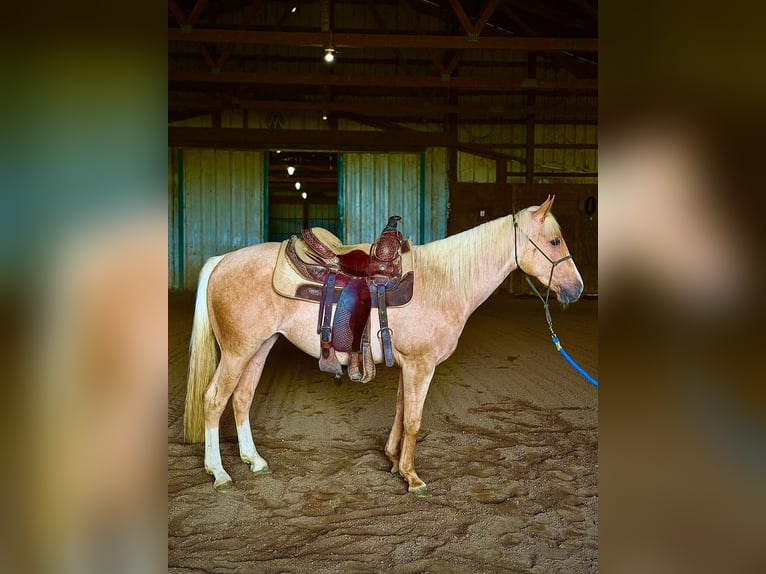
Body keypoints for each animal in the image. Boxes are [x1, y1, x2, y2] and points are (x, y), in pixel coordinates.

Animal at [183, 195, 584, 495]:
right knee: (215, 400)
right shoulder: (422, 365)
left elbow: (400, 410)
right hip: (237, 352)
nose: (577, 288)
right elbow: (414, 419)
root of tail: (222, 261)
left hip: (259, 348)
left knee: (241, 398)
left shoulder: (410, 364)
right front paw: (413, 477)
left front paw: (393, 462)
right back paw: (219, 473)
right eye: (554, 241)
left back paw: (255, 461)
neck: (443, 281)